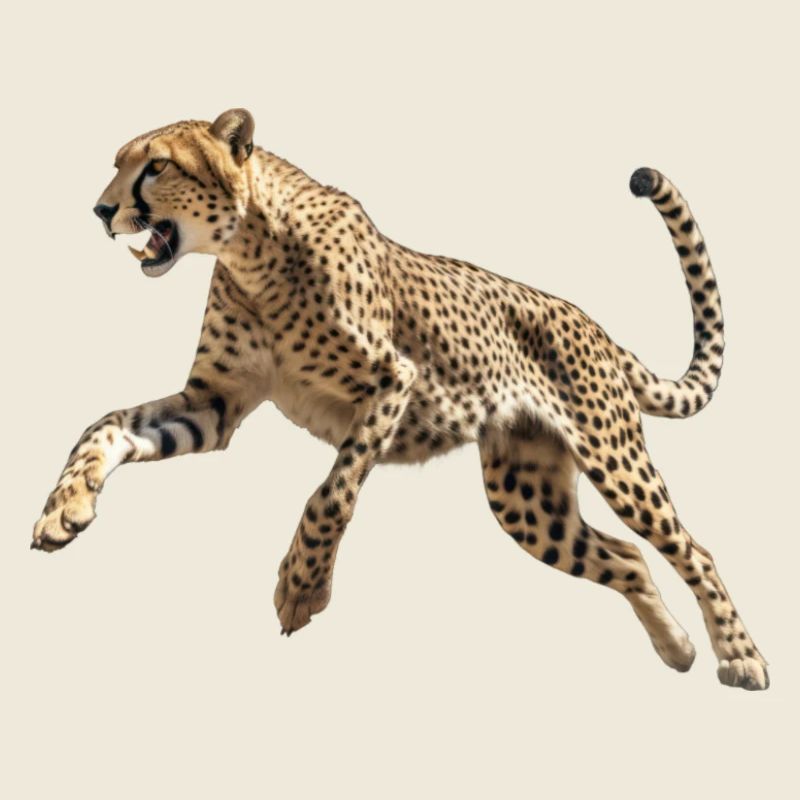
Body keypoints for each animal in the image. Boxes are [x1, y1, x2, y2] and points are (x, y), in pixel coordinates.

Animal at [31, 108, 768, 691]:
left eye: (156, 166)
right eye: (118, 164)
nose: (101, 210)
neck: (252, 249)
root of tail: (596, 328)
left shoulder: (395, 380)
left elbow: (332, 492)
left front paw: (302, 587)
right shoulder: (215, 403)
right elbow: (103, 426)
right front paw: (63, 511)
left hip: (614, 459)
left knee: (691, 550)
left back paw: (740, 659)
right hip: (525, 498)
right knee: (625, 556)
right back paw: (677, 648)